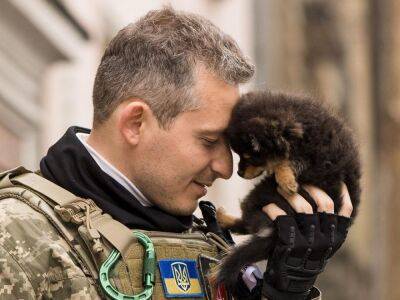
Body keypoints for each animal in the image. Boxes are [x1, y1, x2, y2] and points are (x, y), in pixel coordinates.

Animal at [216, 90, 362, 294]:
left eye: (250, 157)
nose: (239, 172)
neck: (302, 131)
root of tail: (274, 233)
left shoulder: (319, 160)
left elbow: (287, 162)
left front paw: (286, 180)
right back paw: (222, 218)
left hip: (261, 194)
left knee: (248, 221)